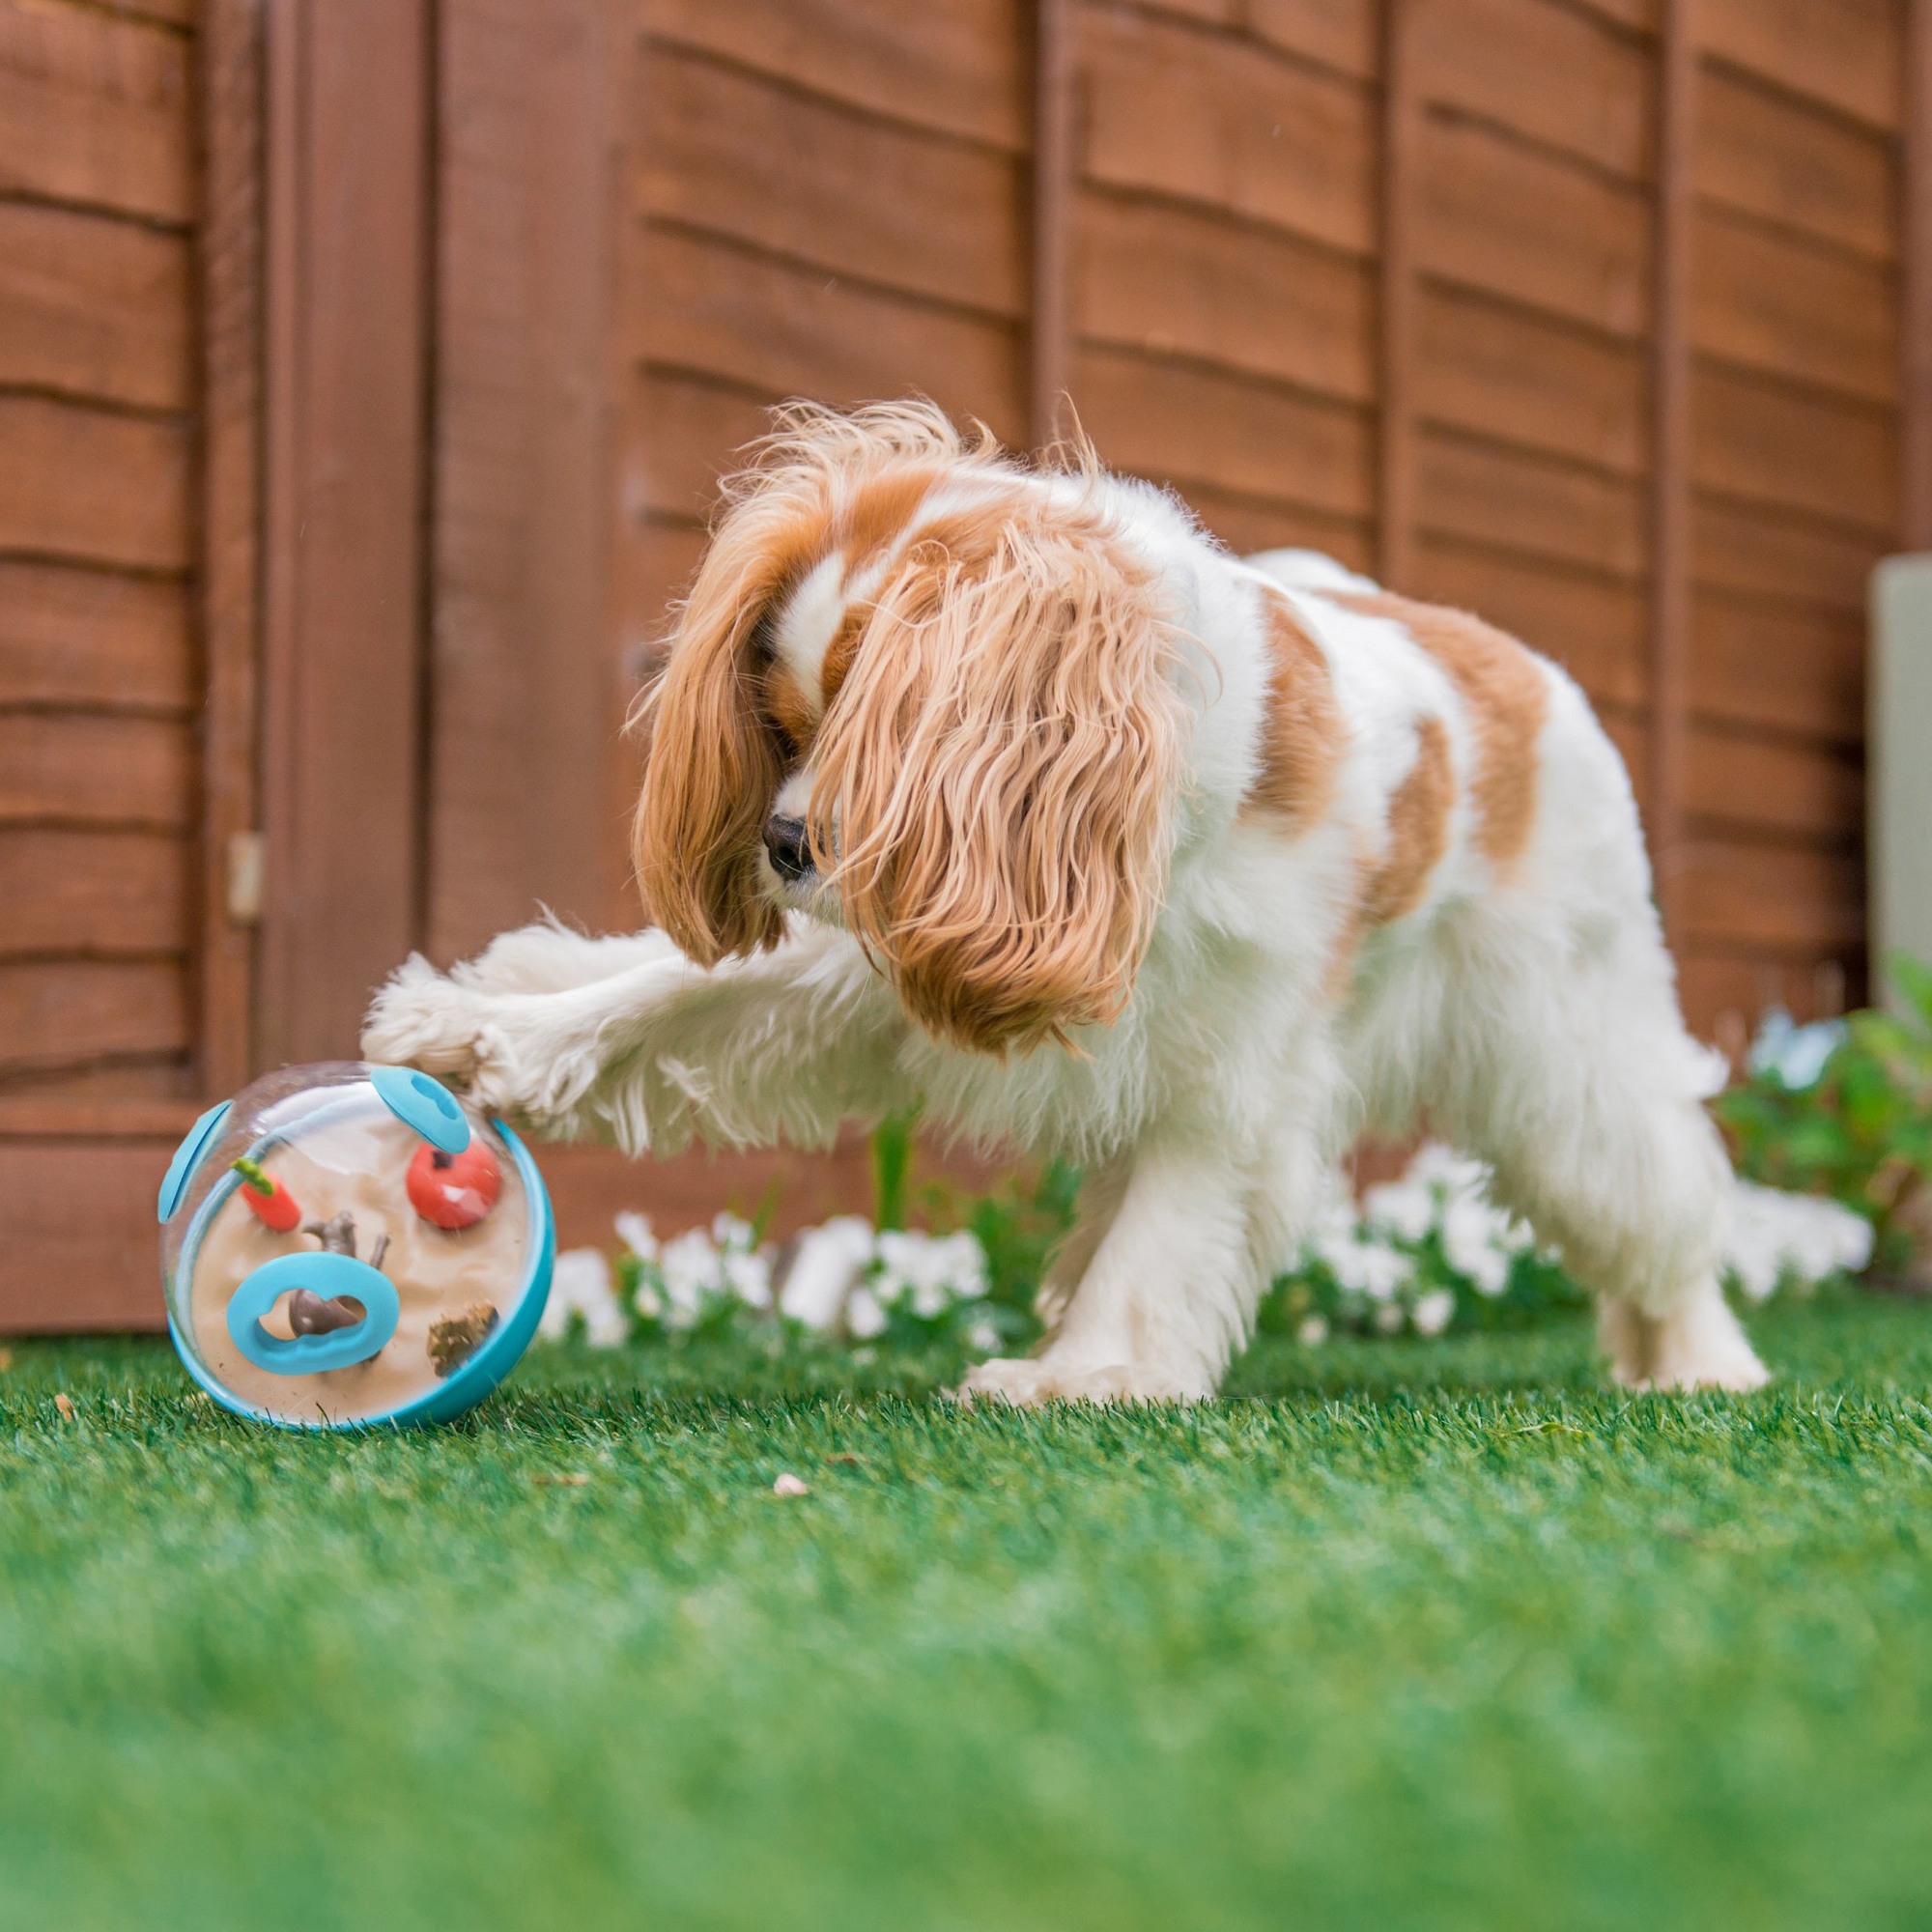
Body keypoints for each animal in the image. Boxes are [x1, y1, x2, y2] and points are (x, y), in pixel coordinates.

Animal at [363, 404, 1770, 1406]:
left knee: (1662, 1207)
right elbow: (671, 988)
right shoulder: (904, 943)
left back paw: (1698, 1369)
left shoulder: (1235, 1075)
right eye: (784, 727)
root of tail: (1528, 671)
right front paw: (486, 1035)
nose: (783, 842)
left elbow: (1167, 1230)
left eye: (875, 733)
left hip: (1566, 1057)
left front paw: (1089, 1373)